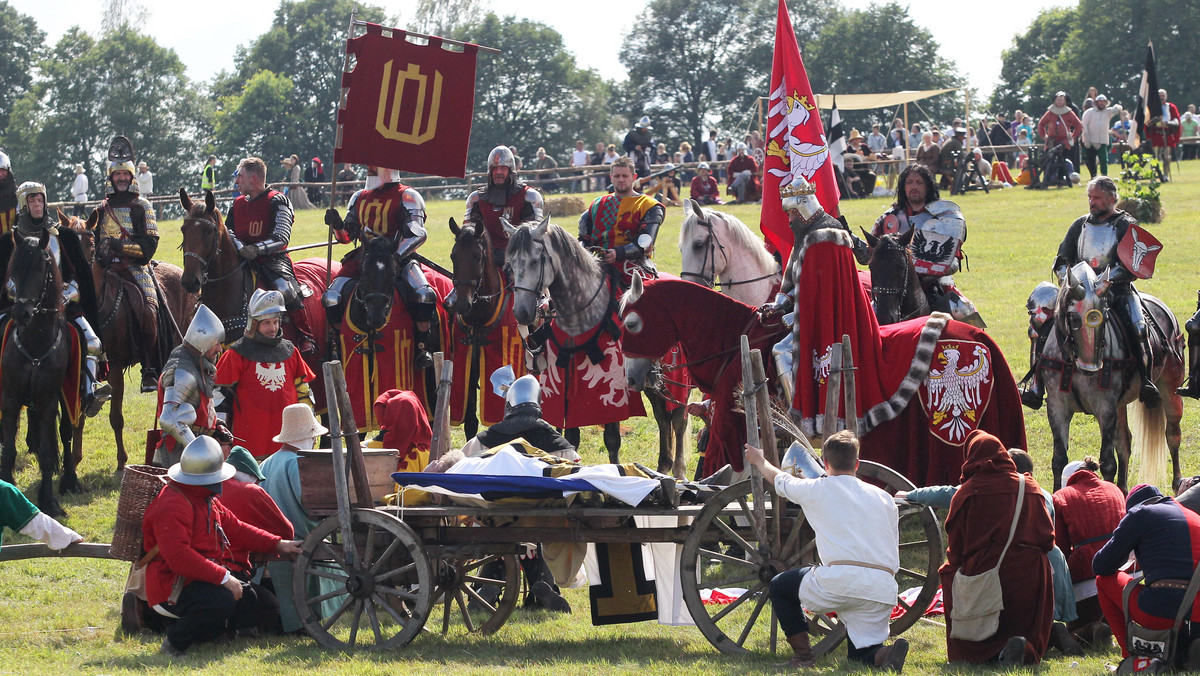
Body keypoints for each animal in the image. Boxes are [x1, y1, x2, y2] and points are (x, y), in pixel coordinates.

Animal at [0, 230, 78, 516]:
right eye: (15, 269)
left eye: (40, 268)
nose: (21, 313)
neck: (35, 342)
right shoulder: (10, 399)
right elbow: (8, 451)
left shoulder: (47, 402)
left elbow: (45, 454)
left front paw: (50, 503)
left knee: (66, 434)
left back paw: (70, 481)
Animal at [71, 212, 195, 470]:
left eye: (90, 245)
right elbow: (79, 416)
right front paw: (74, 461)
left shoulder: (116, 368)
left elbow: (116, 418)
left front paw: (121, 462)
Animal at [1036, 262, 1185, 492]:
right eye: (1073, 318)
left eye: (1104, 317)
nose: (1091, 368)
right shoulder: (1057, 407)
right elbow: (1059, 459)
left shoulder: (1105, 408)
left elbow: (1107, 462)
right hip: (1120, 405)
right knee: (1124, 442)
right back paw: (1123, 488)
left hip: (1170, 387)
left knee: (1172, 434)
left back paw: (1177, 483)